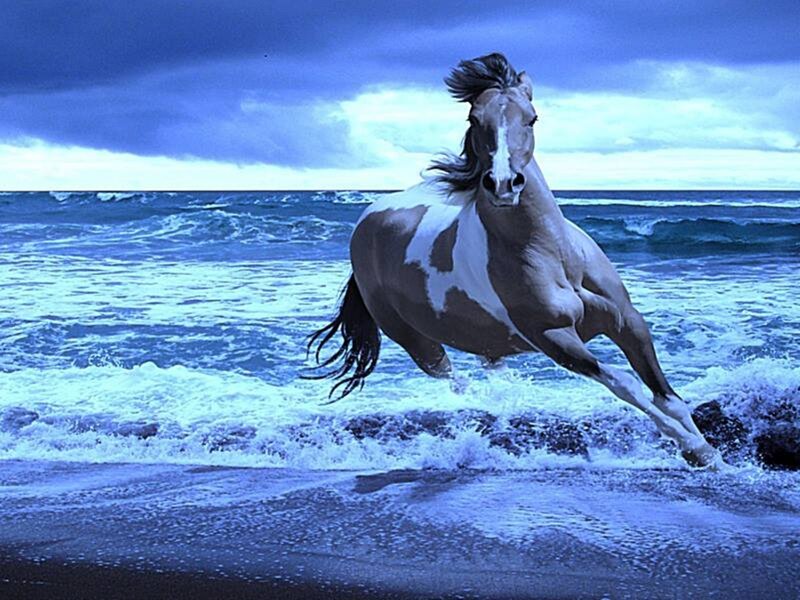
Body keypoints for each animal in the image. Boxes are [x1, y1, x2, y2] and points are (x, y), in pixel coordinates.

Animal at [306, 52, 721, 469]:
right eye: (474, 119)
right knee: (456, 381)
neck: (554, 257)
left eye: (532, 118)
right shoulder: (553, 337)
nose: (504, 184)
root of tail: (367, 221)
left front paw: (712, 453)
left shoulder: (627, 321)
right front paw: (696, 450)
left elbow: (668, 397)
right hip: (417, 342)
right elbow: (626, 383)